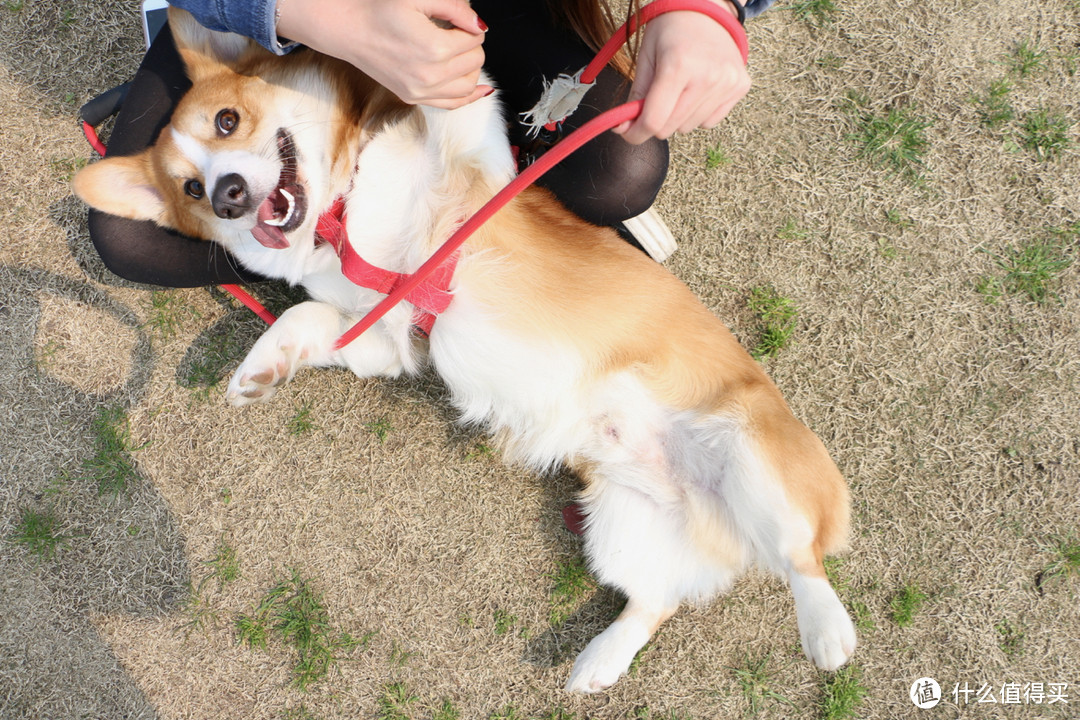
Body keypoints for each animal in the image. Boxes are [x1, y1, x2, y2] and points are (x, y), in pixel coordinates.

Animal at [71, 5, 855, 690]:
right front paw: (259, 370)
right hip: (619, 523)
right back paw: (596, 663)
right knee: (654, 602)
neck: (338, 216)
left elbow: (457, 92)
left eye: (228, 121)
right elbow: (307, 321)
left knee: (801, 557)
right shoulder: (381, 338)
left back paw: (827, 633)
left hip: (755, 459)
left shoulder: (474, 160)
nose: (228, 193)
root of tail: (720, 521)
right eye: (190, 189)